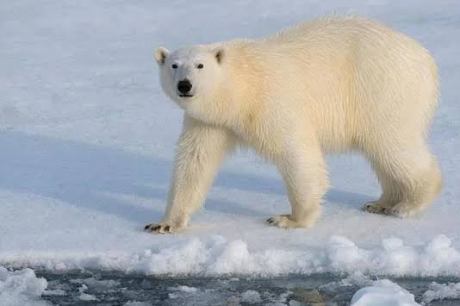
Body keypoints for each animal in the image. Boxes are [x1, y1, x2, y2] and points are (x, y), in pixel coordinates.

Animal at [145, 15, 442, 233]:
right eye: (174, 65)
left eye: (200, 65)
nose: (185, 85)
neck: (240, 90)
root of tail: (426, 58)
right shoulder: (209, 122)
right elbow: (195, 163)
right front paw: (164, 223)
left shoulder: (271, 102)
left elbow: (296, 154)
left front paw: (289, 219)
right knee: (382, 154)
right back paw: (380, 203)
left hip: (382, 89)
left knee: (393, 146)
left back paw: (408, 205)